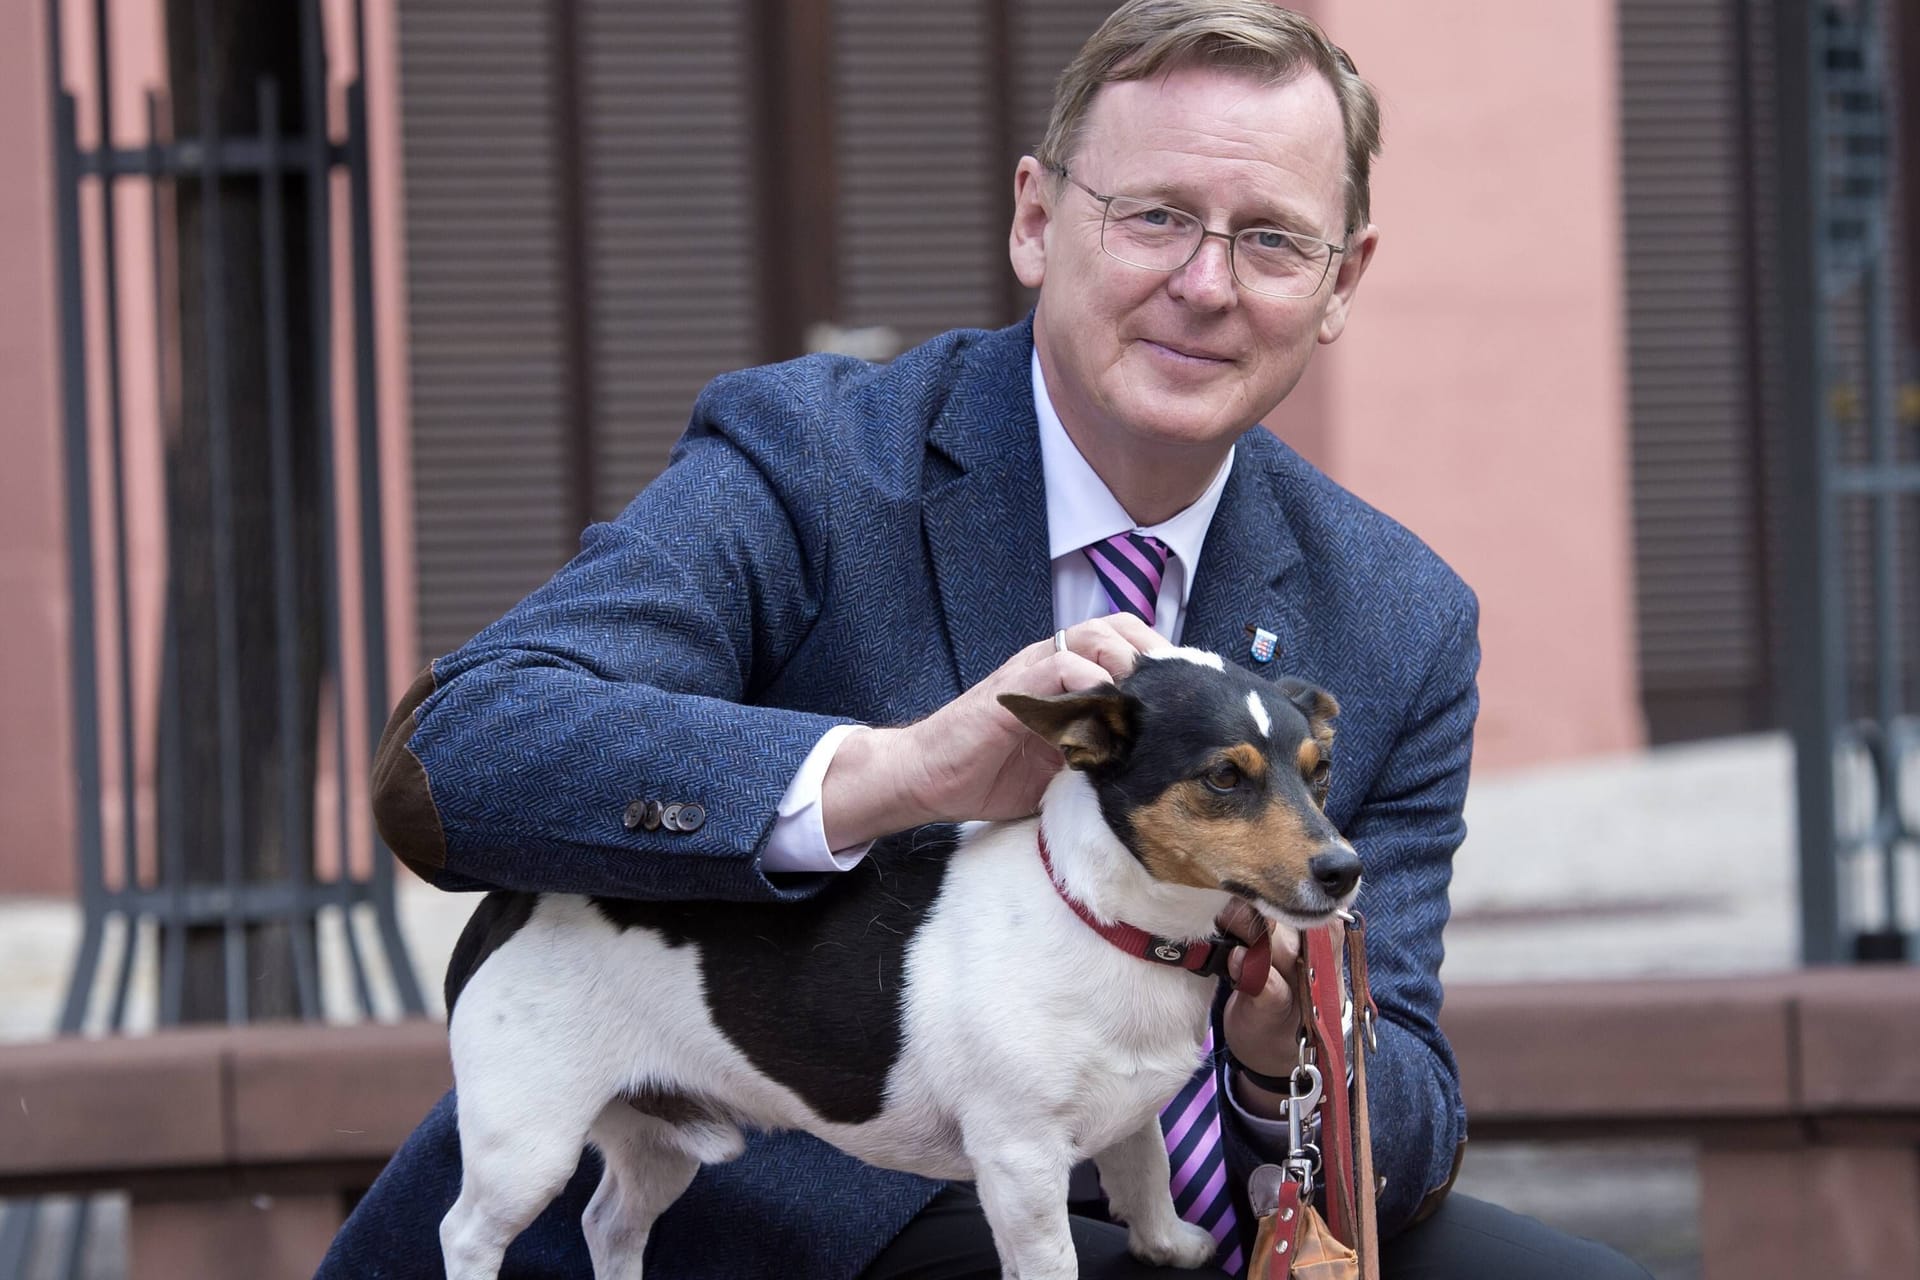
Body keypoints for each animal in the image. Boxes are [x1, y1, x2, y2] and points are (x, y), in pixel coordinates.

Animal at [435, 652, 1367, 1280]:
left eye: (1320, 772)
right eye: (1224, 779)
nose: (1344, 869)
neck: (1105, 919)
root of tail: (507, 901)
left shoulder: (1125, 1115)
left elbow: (1145, 1174)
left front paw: (1168, 1243)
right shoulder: (1020, 1162)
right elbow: (1056, 1256)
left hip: (655, 1141)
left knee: (610, 1226)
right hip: (527, 1146)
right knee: (469, 1235)